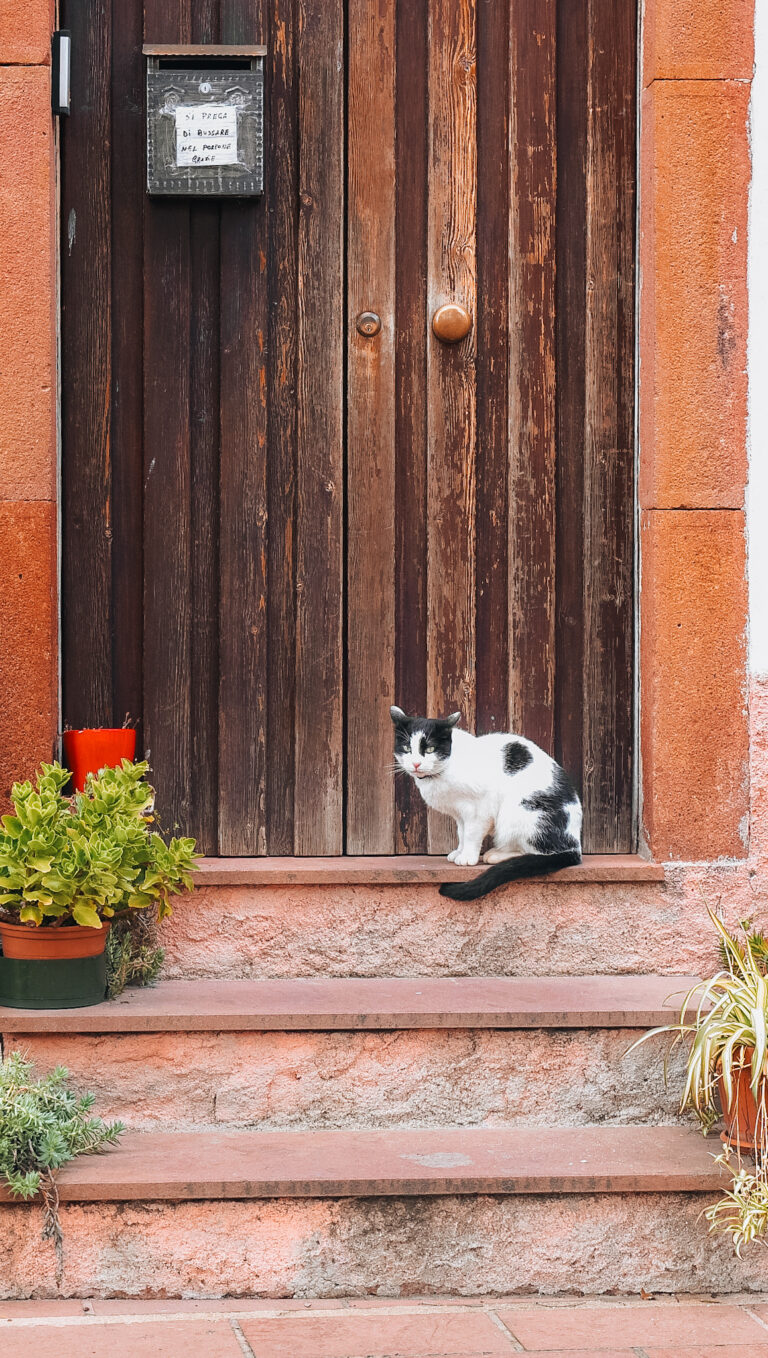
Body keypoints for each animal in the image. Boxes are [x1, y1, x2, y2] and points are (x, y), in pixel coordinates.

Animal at [390, 706, 583, 896]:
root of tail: (575, 845)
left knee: (535, 852)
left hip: (516, 813)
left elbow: (471, 833)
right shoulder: (460, 814)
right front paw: (459, 851)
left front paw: (467, 857)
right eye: (407, 748)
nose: (416, 764)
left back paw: (496, 855)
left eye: (430, 749)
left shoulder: (478, 810)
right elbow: (461, 833)